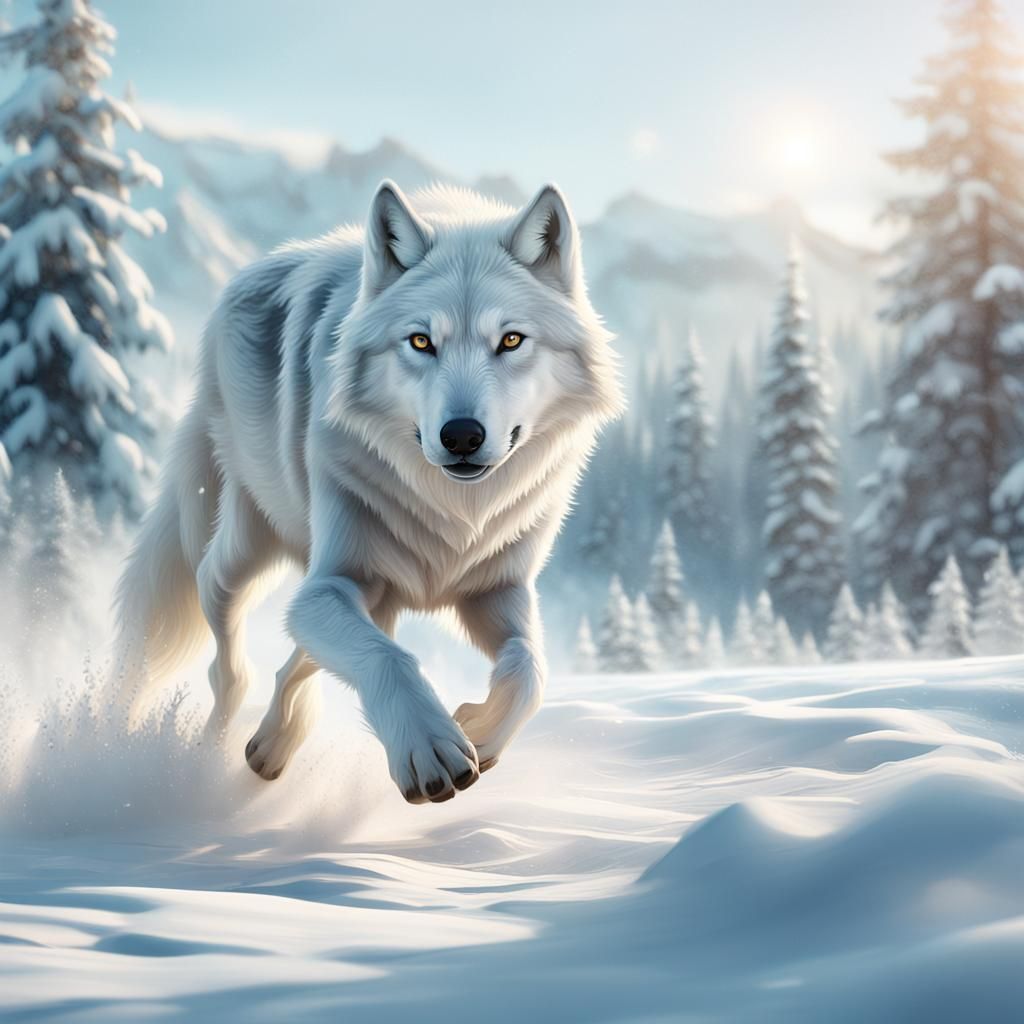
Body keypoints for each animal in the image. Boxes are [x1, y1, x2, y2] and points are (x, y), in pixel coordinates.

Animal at [116, 180, 623, 804]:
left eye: (510, 340)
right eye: (421, 341)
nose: (461, 435)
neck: (455, 512)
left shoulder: (498, 591)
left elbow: (530, 670)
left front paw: (478, 727)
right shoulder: (329, 584)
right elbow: (389, 658)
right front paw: (430, 747)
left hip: (371, 592)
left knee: (304, 659)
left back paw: (273, 745)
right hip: (248, 548)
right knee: (228, 642)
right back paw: (214, 749)